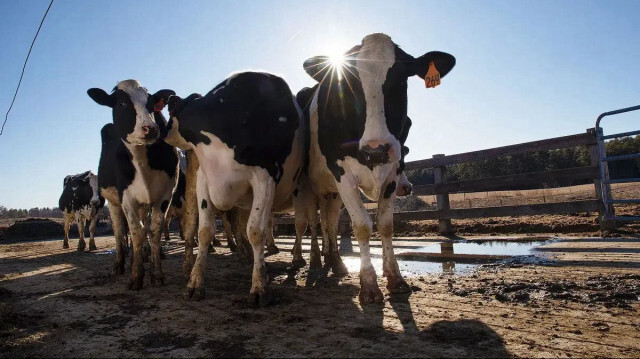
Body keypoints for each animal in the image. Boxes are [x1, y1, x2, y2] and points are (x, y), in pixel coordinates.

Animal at [87, 80, 178, 292]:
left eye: (152, 103)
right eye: (121, 104)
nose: (150, 128)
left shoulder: (164, 195)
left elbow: (154, 231)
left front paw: (156, 273)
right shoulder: (126, 197)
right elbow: (136, 232)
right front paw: (136, 275)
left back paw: (143, 255)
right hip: (112, 202)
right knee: (119, 230)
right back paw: (120, 264)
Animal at [165, 71, 304, 308]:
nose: (161, 132)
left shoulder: (265, 177)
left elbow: (256, 231)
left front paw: (259, 287)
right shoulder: (204, 179)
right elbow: (204, 232)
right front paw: (194, 282)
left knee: (305, 224)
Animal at [302, 33, 456, 304]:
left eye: (402, 79)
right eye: (348, 83)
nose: (376, 149)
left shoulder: (392, 171)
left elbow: (385, 224)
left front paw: (395, 278)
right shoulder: (342, 174)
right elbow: (362, 226)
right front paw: (369, 286)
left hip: (332, 192)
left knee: (329, 220)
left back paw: (336, 262)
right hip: (309, 186)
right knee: (314, 222)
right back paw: (315, 264)